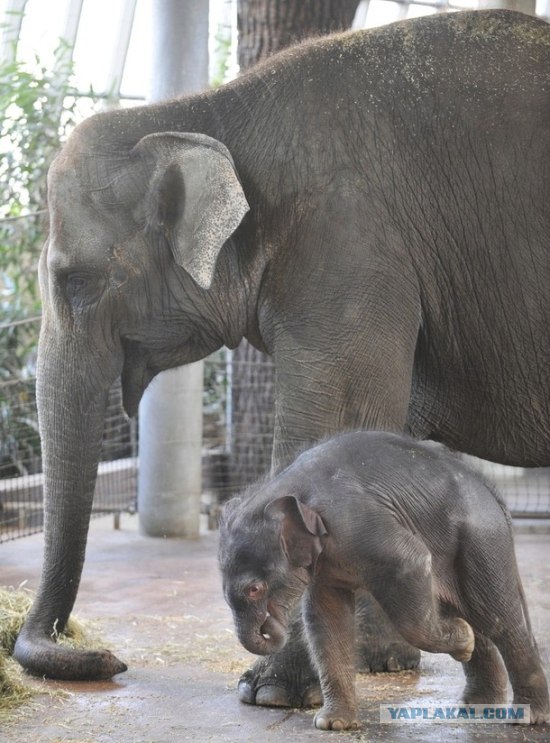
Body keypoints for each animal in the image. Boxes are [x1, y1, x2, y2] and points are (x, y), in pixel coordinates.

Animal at [218, 431, 550, 729]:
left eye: (254, 589)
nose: (271, 623)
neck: (285, 488)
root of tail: (492, 491)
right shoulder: (325, 561)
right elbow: (327, 617)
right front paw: (333, 724)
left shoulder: (355, 521)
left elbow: (412, 562)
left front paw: (462, 639)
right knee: (469, 612)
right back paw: (477, 707)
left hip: (481, 539)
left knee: (497, 617)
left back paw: (528, 716)